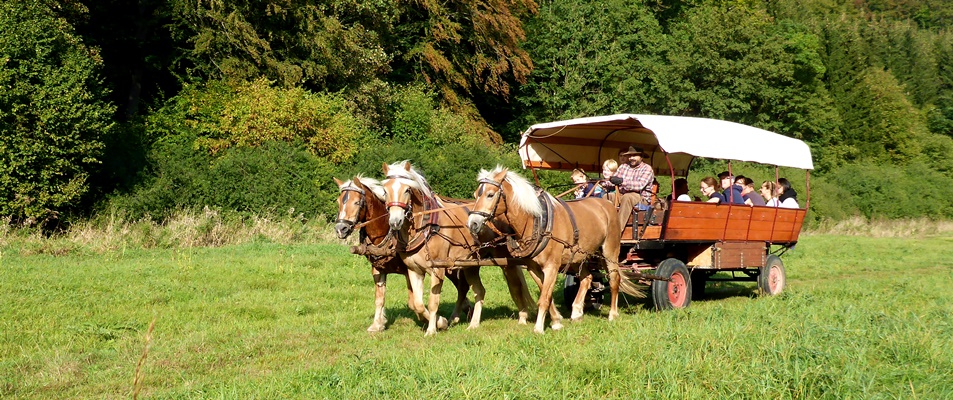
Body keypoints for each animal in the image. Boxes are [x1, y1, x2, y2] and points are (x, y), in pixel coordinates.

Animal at [332, 177, 470, 332]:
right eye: (338, 201)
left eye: (357, 202)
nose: (340, 228)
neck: (386, 231)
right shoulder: (378, 269)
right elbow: (379, 299)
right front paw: (377, 324)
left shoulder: (408, 270)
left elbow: (413, 302)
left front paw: (439, 321)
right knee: (462, 287)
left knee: (462, 287)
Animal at [384, 161, 540, 336]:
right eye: (385, 190)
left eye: (407, 190)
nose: (395, 221)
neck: (427, 227)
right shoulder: (414, 270)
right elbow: (417, 304)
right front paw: (440, 322)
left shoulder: (437, 270)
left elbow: (433, 302)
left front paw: (433, 328)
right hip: (470, 266)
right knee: (480, 290)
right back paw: (474, 323)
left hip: (506, 263)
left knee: (515, 287)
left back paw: (522, 317)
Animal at [462, 166, 640, 334]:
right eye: (476, 194)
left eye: (490, 194)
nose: (472, 223)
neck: (537, 221)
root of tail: (607, 205)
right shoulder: (533, 268)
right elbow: (546, 294)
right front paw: (556, 321)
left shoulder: (551, 267)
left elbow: (544, 298)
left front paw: (539, 328)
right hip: (577, 256)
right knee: (587, 278)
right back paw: (577, 312)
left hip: (610, 251)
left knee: (614, 279)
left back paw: (613, 314)